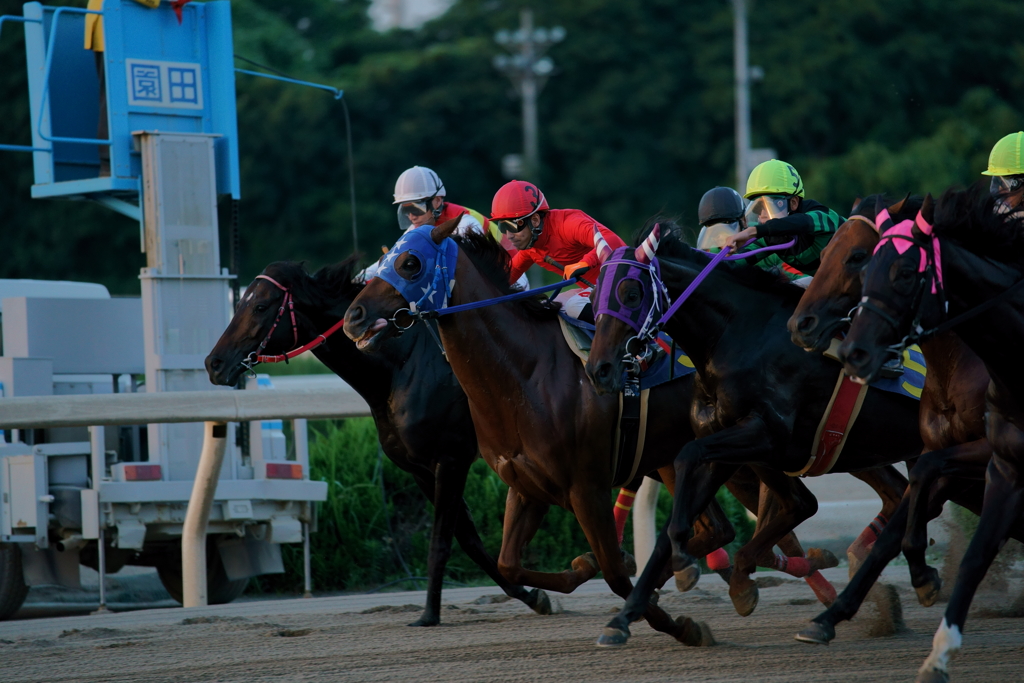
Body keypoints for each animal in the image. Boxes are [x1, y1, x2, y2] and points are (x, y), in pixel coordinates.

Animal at [204, 259, 552, 626]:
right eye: (239, 302)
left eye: (259, 306)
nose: (214, 363)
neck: (401, 369)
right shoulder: (421, 469)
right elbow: (468, 539)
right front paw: (530, 596)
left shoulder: (451, 459)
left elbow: (441, 540)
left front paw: (429, 614)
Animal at [585, 223, 929, 647]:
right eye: (593, 297)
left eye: (632, 293)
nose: (598, 370)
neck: (738, 334)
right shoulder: (726, 437)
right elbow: (680, 513)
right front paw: (623, 617)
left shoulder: (766, 433)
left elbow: (688, 457)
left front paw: (698, 562)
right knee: (891, 499)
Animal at [782, 196, 991, 647]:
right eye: (825, 252)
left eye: (858, 256)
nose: (800, 324)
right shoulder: (942, 454)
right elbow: (895, 530)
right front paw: (829, 617)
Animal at [835, 183, 1024, 683]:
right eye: (865, 267)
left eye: (904, 272)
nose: (853, 351)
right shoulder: (1002, 465)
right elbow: (968, 546)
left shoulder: (978, 452)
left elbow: (925, 477)